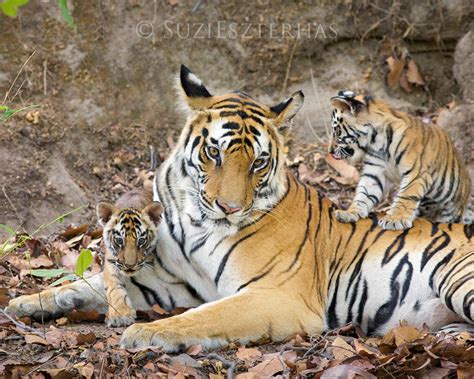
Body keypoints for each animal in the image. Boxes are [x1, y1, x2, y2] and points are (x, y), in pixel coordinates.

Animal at [7, 66, 474, 354]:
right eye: (213, 152)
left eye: (259, 162)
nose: (229, 207)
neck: (196, 223)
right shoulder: (173, 282)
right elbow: (87, 283)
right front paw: (26, 303)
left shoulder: (274, 294)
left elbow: (206, 316)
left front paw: (146, 332)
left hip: (457, 278)